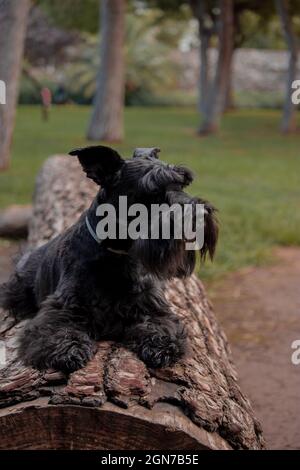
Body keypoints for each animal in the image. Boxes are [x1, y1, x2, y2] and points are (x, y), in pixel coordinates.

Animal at [0, 145, 217, 372]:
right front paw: (68, 349)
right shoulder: (63, 308)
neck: (117, 256)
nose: (201, 214)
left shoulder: (153, 307)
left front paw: (161, 345)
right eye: (152, 190)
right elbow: (57, 329)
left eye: (183, 183)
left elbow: (162, 325)